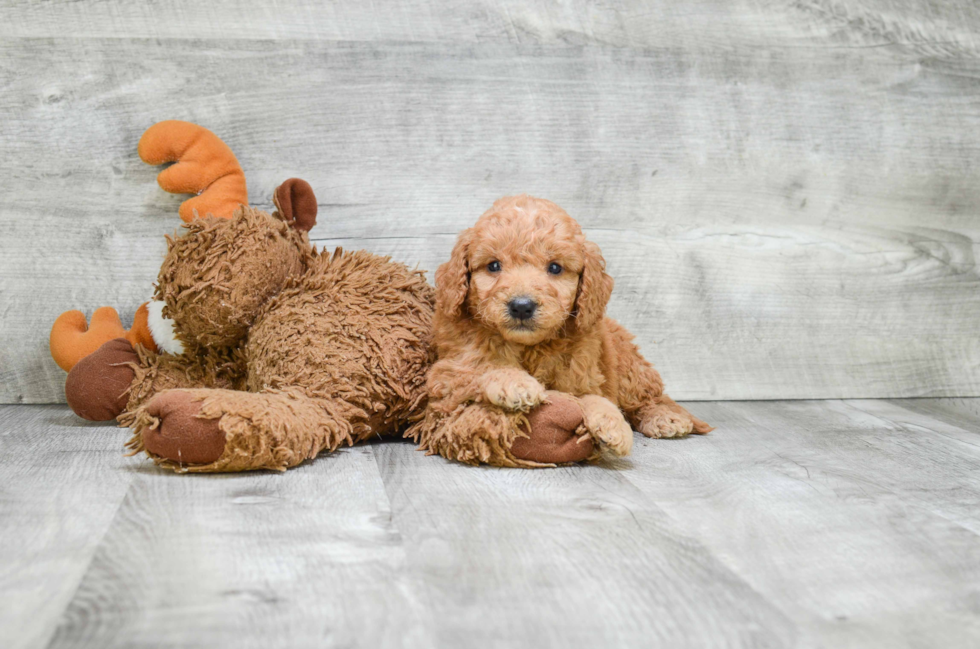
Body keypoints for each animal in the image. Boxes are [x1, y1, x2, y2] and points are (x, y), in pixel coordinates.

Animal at [428, 195, 712, 458]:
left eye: (555, 268)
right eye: (493, 265)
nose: (521, 306)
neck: (531, 347)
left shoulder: (584, 377)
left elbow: (594, 397)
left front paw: (613, 424)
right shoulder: (447, 371)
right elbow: (484, 366)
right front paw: (516, 383)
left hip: (629, 368)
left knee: (650, 398)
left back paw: (665, 418)